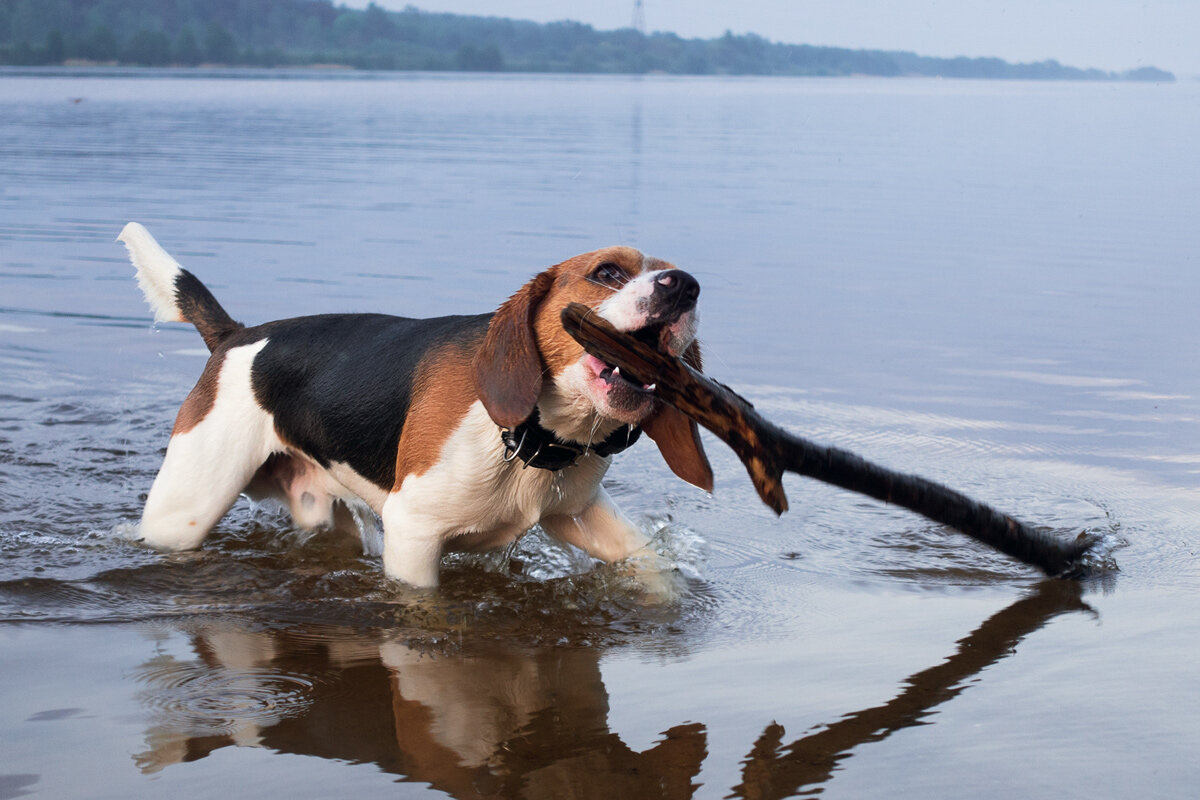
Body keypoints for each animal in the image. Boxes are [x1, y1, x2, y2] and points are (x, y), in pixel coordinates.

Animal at [117, 221, 705, 585]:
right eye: (607, 272)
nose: (685, 286)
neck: (526, 438)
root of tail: (236, 335)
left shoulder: (578, 514)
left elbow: (651, 565)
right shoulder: (413, 536)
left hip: (319, 509)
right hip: (184, 513)